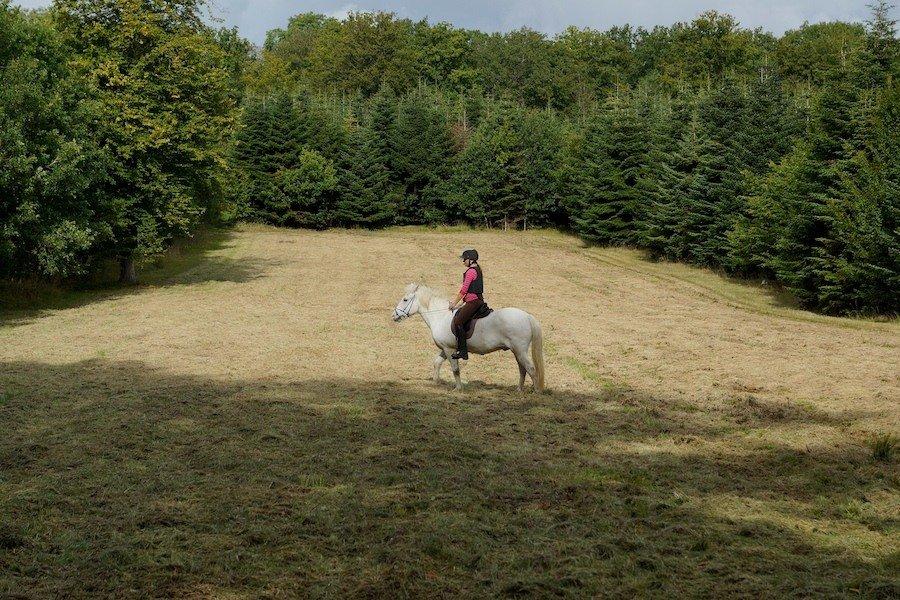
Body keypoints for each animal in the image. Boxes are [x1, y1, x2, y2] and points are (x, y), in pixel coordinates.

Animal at [392, 284, 544, 394]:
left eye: (405, 300)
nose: (394, 316)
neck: (441, 316)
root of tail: (527, 316)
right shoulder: (447, 349)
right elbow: (437, 363)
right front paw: (436, 382)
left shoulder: (449, 349)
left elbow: (455, 369)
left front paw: (458, 388)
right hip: (516, 351)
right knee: (522, 369)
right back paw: (519, 390)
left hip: (520, 351)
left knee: (530, 368)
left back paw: (536, 392)